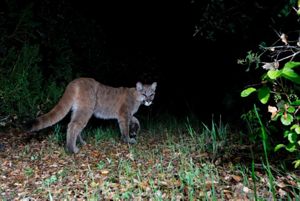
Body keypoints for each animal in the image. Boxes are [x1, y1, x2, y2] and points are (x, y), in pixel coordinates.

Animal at [27, 77, 157, 153]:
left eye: (152, 94)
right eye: (144, 94)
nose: (149, 101)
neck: (136, 96)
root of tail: (74, 82)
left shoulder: (128, 115)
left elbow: (136, 119)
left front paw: (135, 129)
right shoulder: (123, 115)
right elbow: (125, 129)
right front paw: (128, 140)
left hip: (78, 110)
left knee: (75, 125)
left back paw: (81, 142)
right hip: (86, 109)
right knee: (73, 126)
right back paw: (71, 149)